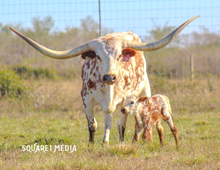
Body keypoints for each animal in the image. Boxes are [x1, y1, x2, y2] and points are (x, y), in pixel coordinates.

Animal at [9, 15, 199, 144]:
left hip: (145, 89)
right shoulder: (86, 98)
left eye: (119, 55)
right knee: (108, 119)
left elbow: (121, 125)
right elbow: (93, 124)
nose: (109, 77)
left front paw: (121, 143)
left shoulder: (128, 101)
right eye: (98, 57)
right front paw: (93, 145)